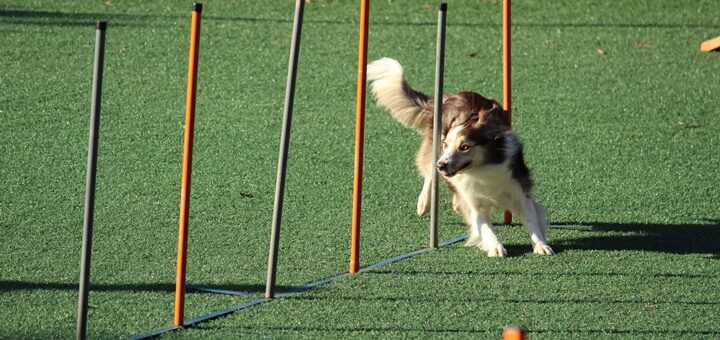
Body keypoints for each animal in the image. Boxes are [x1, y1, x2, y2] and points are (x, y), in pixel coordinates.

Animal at [368, 57, 556, 258]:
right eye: (446, 145)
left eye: (464, 147)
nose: (442, 165)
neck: (481, 170)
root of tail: (449, 97)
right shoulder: (474, 202)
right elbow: (486, 228)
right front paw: (495, 247)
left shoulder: (519, 189)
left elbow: (531, 219)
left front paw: (541, 245)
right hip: (432, 148)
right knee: (428, 171)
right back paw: (424, 203)